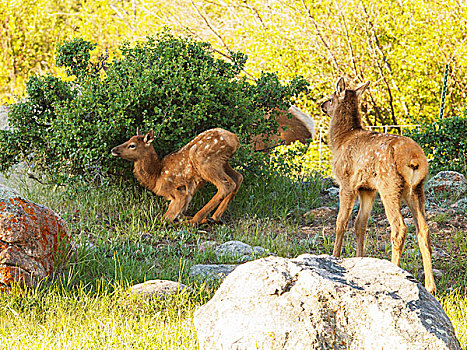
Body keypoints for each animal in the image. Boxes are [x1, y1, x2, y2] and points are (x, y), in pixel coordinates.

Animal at [111, 129, 243, 224]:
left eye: (132, 145)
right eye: (128, 140)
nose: (113, 149)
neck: (156, 175)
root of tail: (234, 139)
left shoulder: (179, 192)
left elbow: (166, 219)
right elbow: (179, 215)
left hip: (206, 162)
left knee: (226, 185)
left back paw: (196, 220)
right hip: (223, 162)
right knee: (238, 177)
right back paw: (213, 218)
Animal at [320, 78, 436, 294]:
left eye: (331, 98)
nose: (321, 105)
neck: (341, 141)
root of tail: (414, 159)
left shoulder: (347, 183)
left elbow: (341, 222)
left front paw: (335, 256)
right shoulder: (367, 189)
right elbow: (360, 224)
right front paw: (359, 259)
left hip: (389, 185)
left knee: (399, 227)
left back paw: (396, 272)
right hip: (416, 189)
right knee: (423, 229)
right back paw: (430, 287)